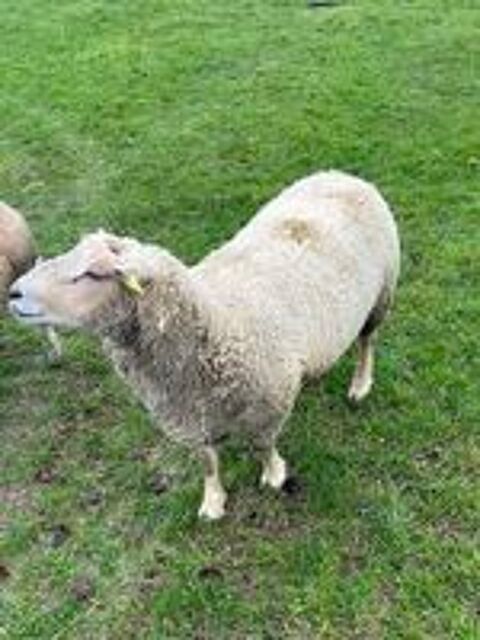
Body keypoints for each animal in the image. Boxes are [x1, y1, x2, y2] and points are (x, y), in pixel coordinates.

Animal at [8, 170, 400, 519]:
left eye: (92, 273)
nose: (13, 292)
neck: (215, 322)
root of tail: (343, 175)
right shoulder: (185, 414)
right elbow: (207, 461)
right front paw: (213, 501)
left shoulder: (268, 405)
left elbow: (263, 446)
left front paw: (274, 475)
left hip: (382, 295)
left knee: (367, 342)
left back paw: (360, 385)